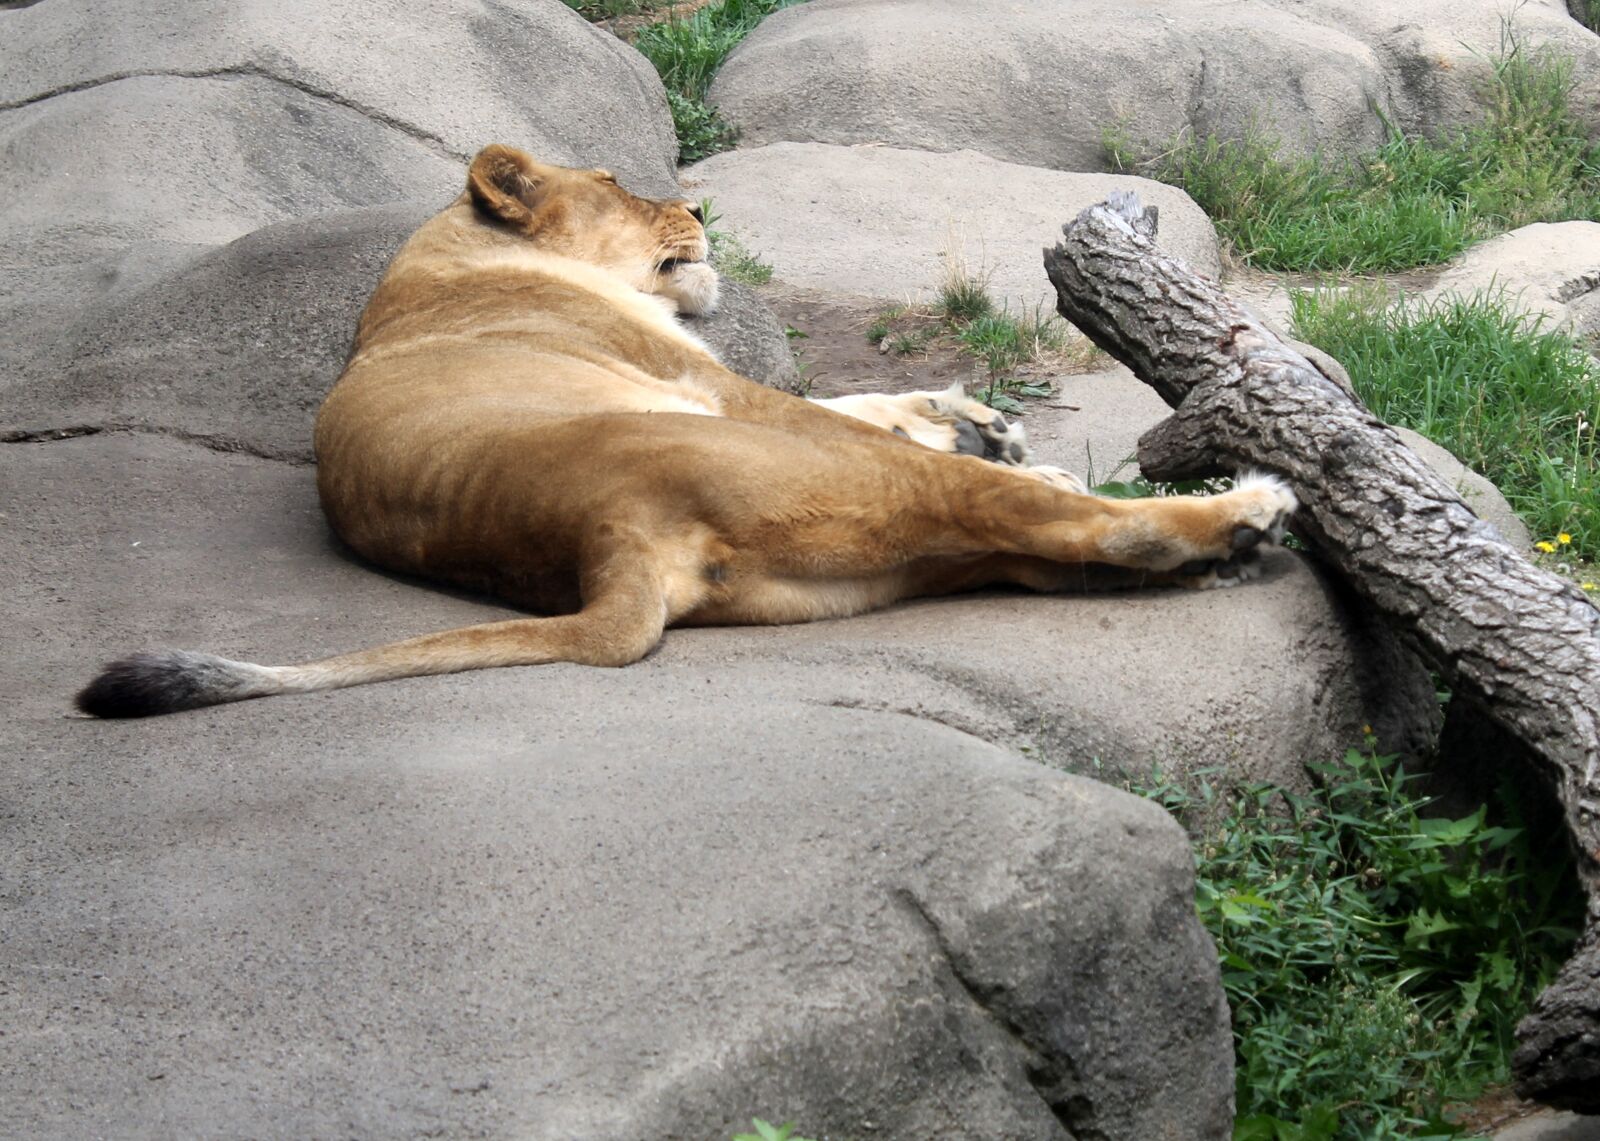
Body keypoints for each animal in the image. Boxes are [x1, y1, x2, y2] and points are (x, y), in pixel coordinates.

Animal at [76, 144, 1296, 718]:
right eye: (619, 183)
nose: (701, 211)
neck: (435, 265)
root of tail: (600, 540)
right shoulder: (707, 386)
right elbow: (827, 403)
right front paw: (991, 433)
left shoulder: (704, 374)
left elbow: (866, 395)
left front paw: (978, 416)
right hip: (854, 501)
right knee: (1073, 525)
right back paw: (1238, 509)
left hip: (871, 567)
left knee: (1033, 546)